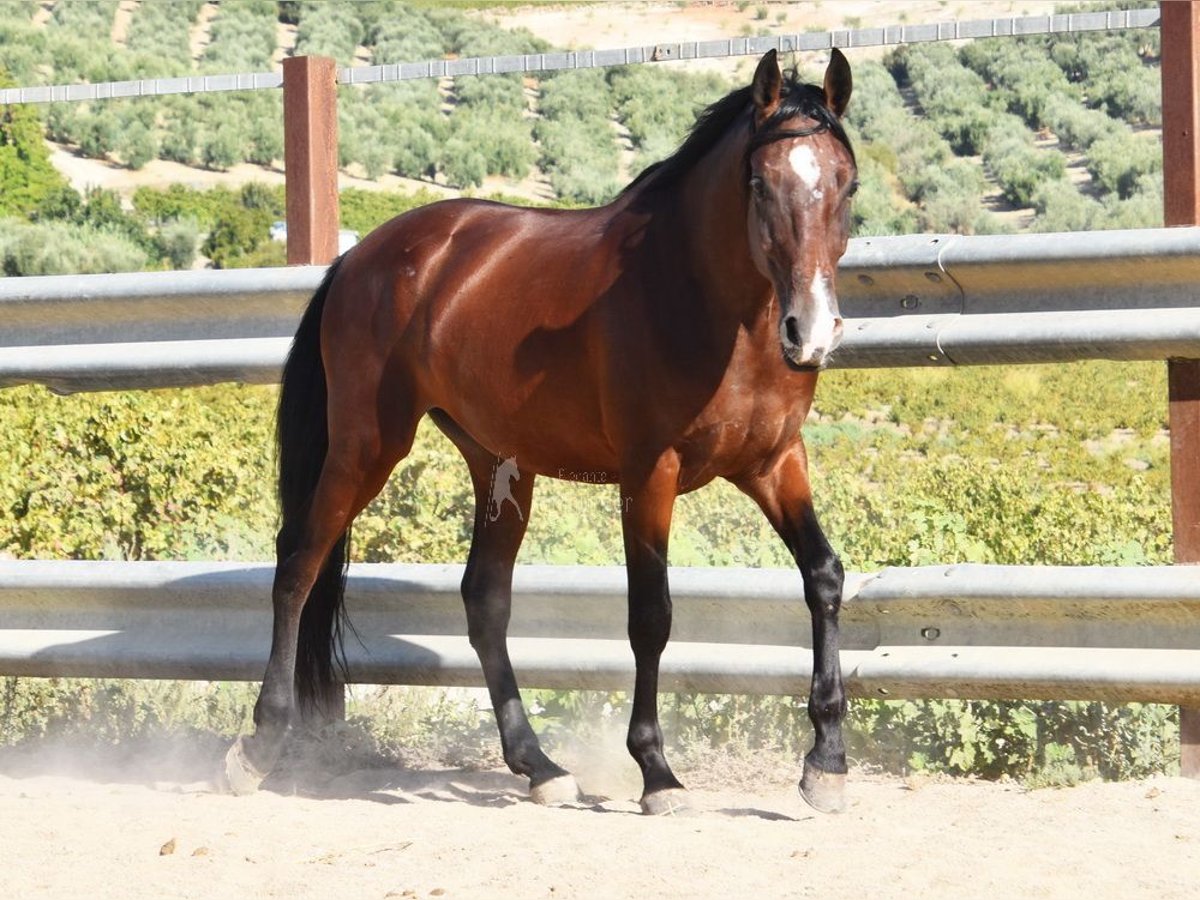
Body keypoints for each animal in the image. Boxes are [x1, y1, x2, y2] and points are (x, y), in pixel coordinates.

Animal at [225, 49, 859, 816]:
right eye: (760, 183)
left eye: (847, 183)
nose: (811, 332)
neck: (700, 299)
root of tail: (362, 258)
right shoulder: (650, 474)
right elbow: (651, 614)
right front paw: (657, 772)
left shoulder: (774, 463)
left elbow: (823, 577)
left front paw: (826, 764)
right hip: (366, 446)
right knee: (299, 563)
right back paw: (259, 746)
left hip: (499, 464)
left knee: (483, 601)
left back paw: (539, 766)